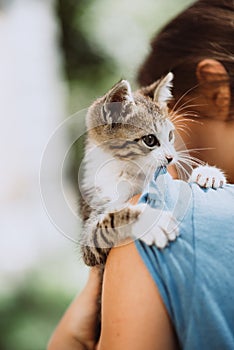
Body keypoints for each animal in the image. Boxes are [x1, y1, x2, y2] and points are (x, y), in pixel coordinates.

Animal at [79, 73, 227, 266]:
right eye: (149, 140)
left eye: (170, 135)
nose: (171, 157)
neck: (130, 170)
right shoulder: (91, 230)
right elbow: (105, 224)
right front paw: (150, 222)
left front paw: (207, 173)